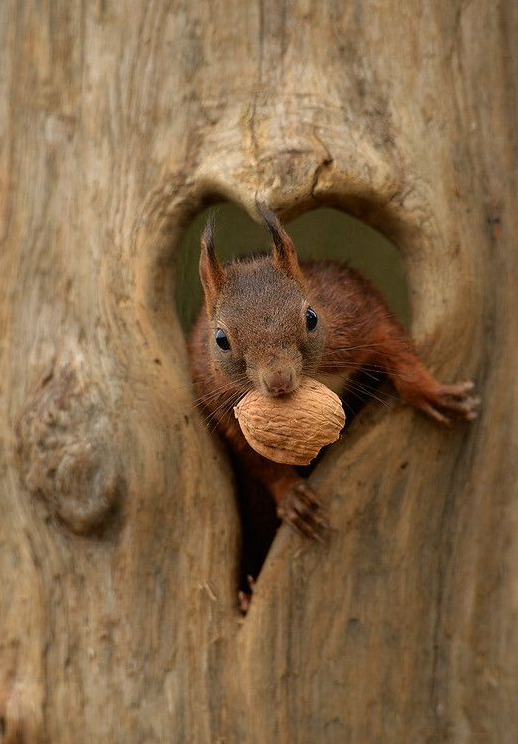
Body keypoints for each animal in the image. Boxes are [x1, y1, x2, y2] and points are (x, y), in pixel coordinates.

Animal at [189, 206, 482, 548]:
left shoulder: (354, 312)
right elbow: (255, 456)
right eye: (220, 339)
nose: (278, 380)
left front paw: (432, 392)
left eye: (311, 317)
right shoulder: (220, 402)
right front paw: (292, 496)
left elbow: (394, 345)